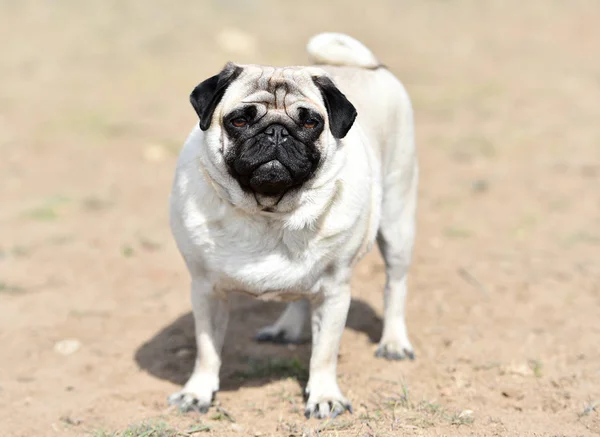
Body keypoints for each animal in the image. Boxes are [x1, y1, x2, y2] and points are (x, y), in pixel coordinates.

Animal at [166, 32, 414, 418]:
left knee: (395, 286)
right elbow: (207, 349)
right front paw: (198, 392)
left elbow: (324, 353)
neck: (270, 213)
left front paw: (325, 396)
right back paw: (287, 328)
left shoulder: (334, 292)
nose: (277, 132)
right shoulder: (206, 290)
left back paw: (394, 342)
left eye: (311, 123)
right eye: (239, 121)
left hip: (397, 221)